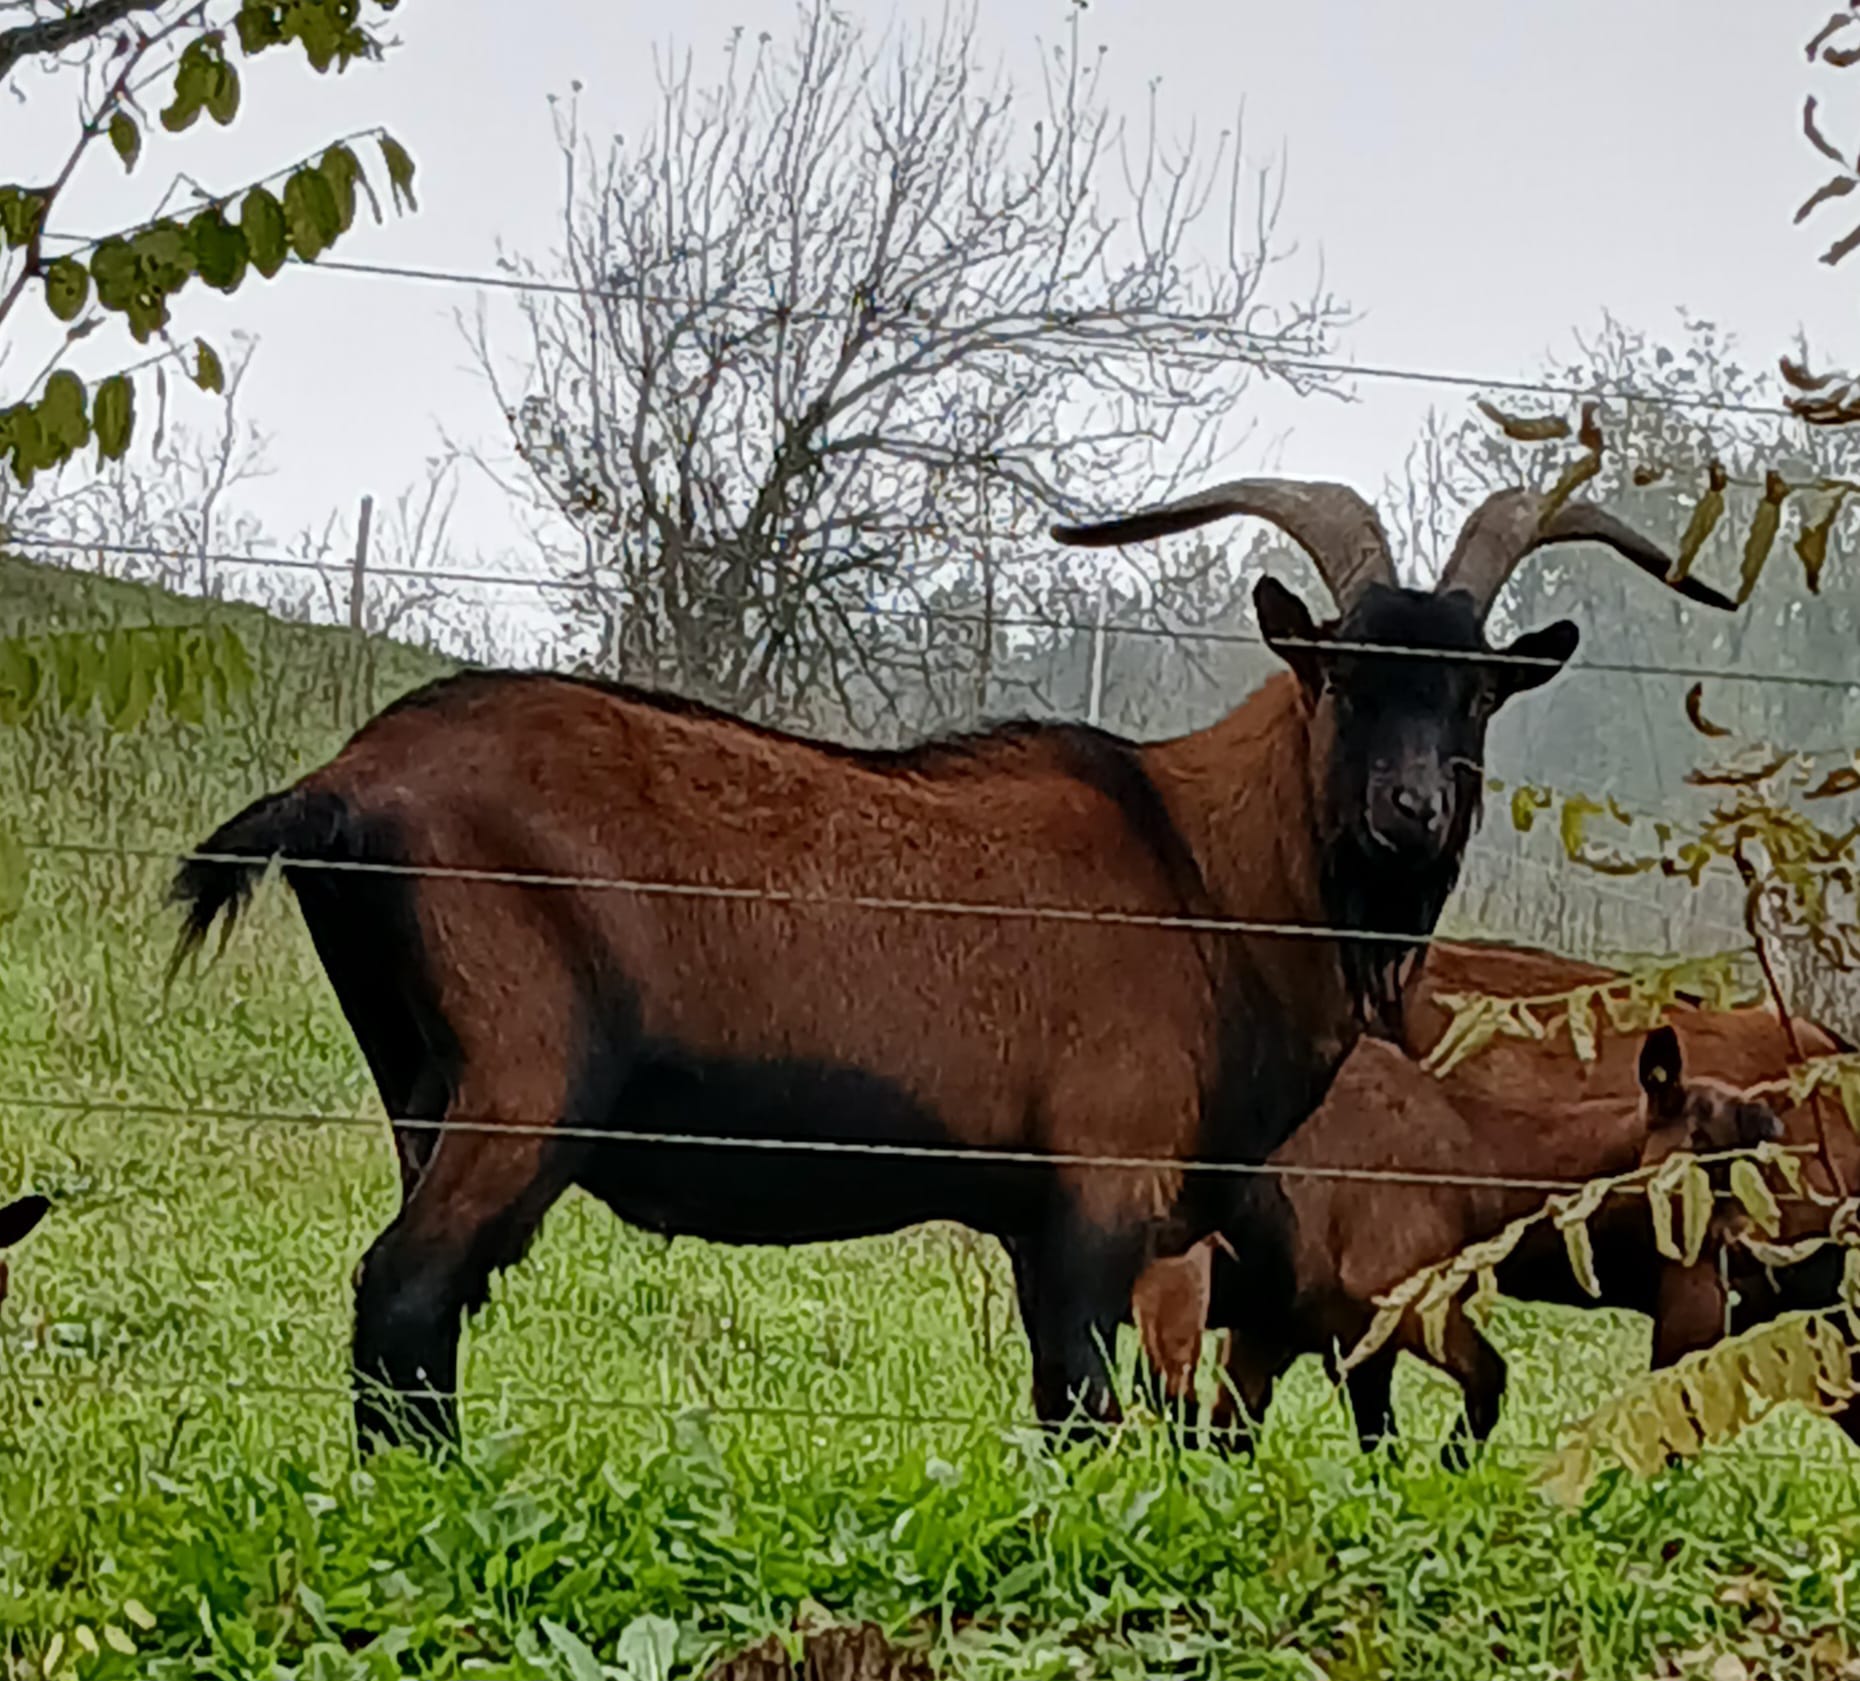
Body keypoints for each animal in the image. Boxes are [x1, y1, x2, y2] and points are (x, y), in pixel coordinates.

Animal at [167, 479, 1718, 1450]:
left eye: (1474, 691)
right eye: (1338, 672)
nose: (1410, 813)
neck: (1196, 869)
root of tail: (349, 781)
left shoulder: (1052, 1224)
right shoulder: (1099, 1201)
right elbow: (1087, 1415)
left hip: (420, 1092)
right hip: (520, 1087)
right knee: (404, 1294)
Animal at [1130, 937, 1845, 1450]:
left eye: (1756, 1163)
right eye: (1696, 1143)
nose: (1746, 1249)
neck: (1473, 1148)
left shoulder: (1300, 1330)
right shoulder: (1399, 1298)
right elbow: (1489, 1383)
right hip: (1177, 1277)